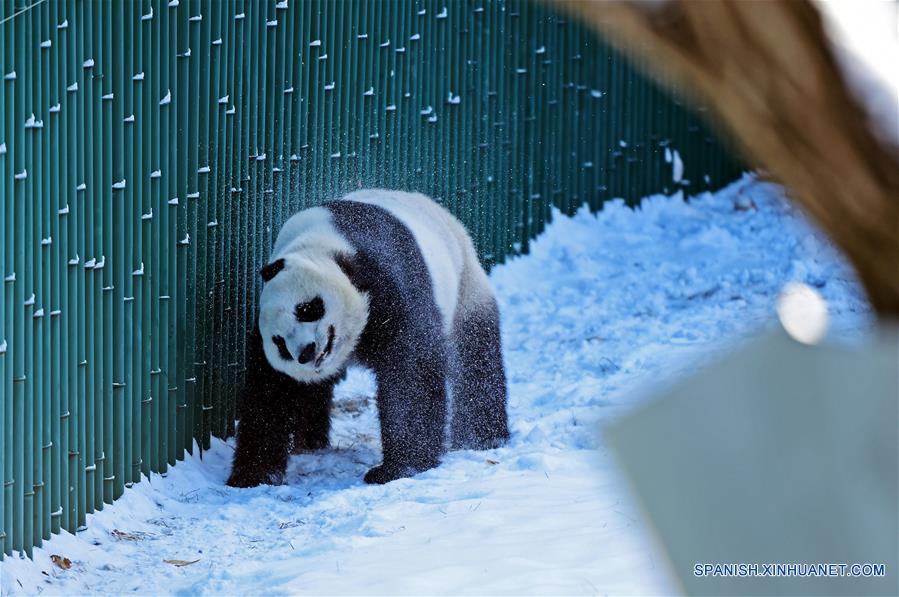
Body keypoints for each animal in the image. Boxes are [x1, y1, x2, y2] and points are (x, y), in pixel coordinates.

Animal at [229, 189, 510, 486]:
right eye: (280, 343)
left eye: (305, 309)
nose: (305, 352)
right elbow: (270, 393)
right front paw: (254, 475)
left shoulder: (386, 281)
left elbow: (409, 372)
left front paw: (398, 468)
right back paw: (310, 441)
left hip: (465, 284)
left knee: (476, 357)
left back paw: (482, 437)